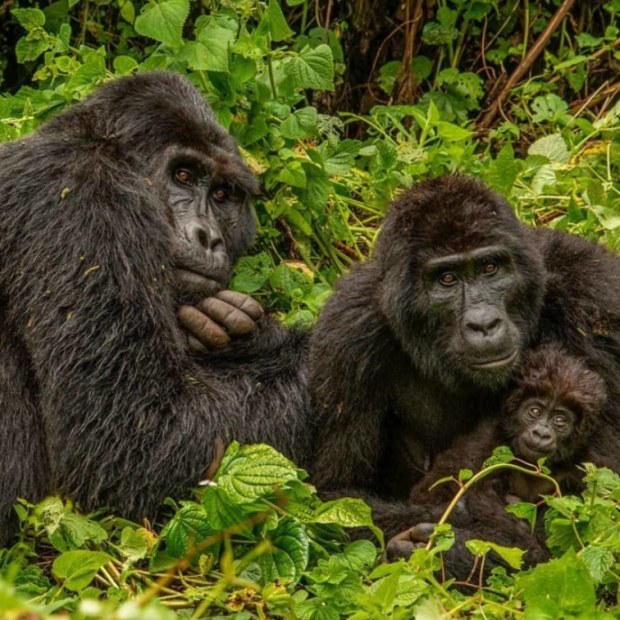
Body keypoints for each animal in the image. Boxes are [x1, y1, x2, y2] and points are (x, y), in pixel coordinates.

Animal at [0, 70, 310, 544]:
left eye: (223, 194)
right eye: (182, 174)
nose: (208, 237)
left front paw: (244, 339)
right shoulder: (83, 202)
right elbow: (128, 439)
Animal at [390, 346, 608, 564]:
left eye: (560, 420)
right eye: (534, 411)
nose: (541, 433)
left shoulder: (588, 468)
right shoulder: (483, 444)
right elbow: (433, 494)